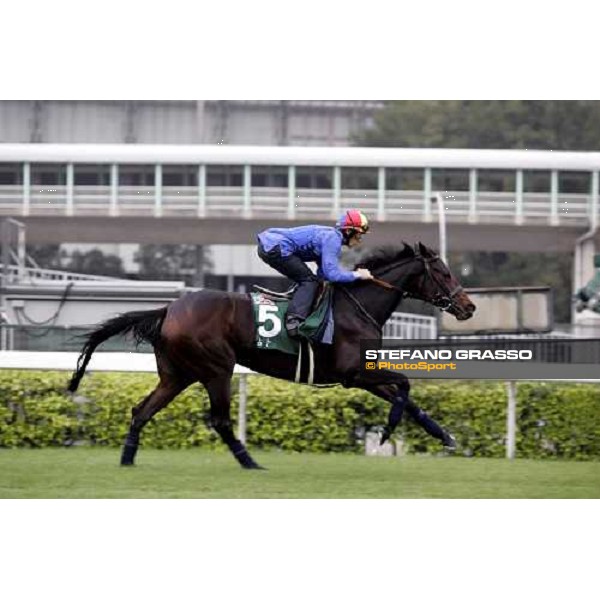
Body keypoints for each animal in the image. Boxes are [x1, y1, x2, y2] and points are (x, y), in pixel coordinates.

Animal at [68, 243, 476, 468]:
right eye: (443, 272)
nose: (469, 306)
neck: (357, 306)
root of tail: (168, 308)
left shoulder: (363, 374)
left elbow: (409, 400)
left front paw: (448, 438)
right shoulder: (353, 373)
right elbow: (405, 385)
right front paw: (387, 431)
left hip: (178, 374)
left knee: (142, 410)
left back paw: (127, 459)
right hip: (217, 368)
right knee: (219, 420)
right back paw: (250, 462)